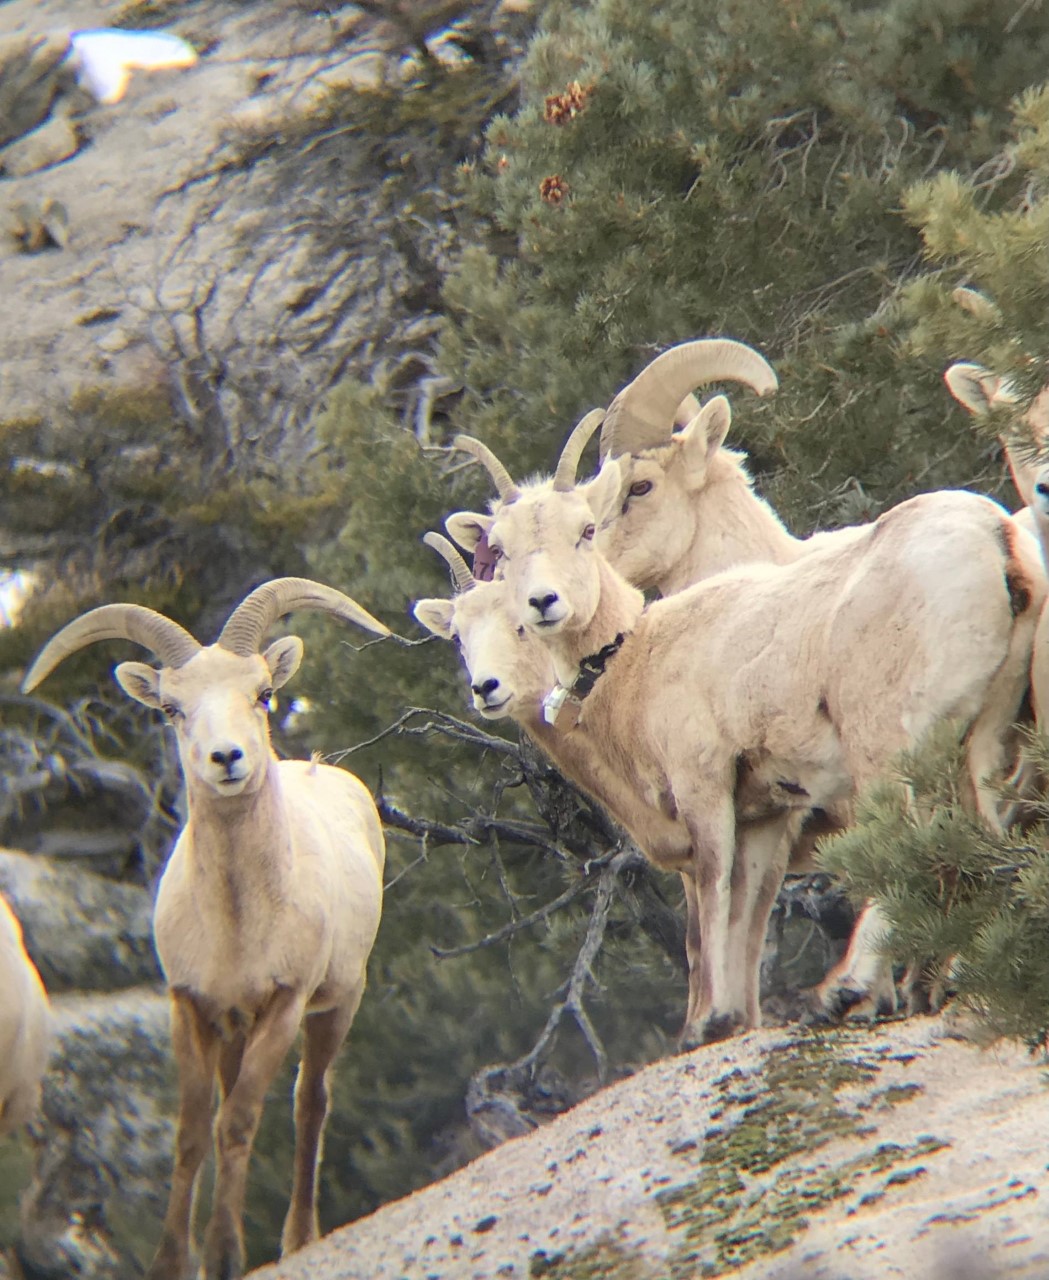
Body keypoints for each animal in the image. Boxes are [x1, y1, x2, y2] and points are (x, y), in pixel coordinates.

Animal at [25, 581, 394, 1280]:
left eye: (263, 692)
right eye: (171, 708)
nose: (228, 758)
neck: (237, 926)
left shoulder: (283, 1004)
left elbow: (239, 1122)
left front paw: (224, 1257)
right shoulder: (191, 1007)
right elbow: (194, 1131)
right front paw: (172, 1263)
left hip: (338, 1005)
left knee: (310, 1103)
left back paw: (298, 1239)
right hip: (233, 1029)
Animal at [445, 435, 1049, 1044]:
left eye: (586, 528)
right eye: (502, 549)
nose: (543, 603)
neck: (637, 659)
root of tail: (996, 537)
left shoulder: (704, 789)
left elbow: (712, 900)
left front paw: (708, 1023)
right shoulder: (763, 816)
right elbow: (744, 912)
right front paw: (734, 1019)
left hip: (885, 744)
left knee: (904, 841)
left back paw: (846, 990)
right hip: (981, 741)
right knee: (977, 838)